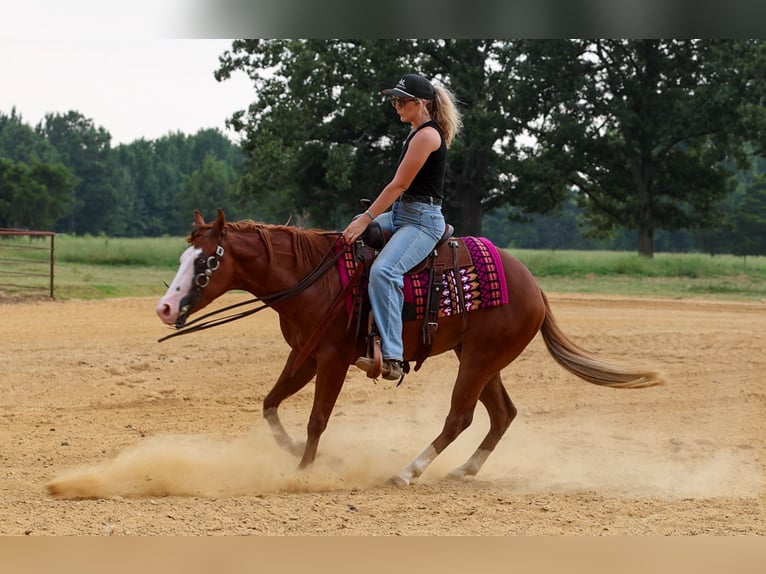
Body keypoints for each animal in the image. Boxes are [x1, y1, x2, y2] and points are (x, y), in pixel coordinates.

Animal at [156, 209, 665, 485]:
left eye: (208, 260)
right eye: (184, 255)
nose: (165, 307)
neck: (316, 278)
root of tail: (533, 284)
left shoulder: (334, 358)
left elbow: (318, 418)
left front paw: (304, 470)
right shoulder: (304, 355)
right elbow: (271, 404)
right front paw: (301, 454)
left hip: (479, 359)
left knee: (460, 417)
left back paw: (408, 471)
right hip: (480, 358)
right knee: (503, 414)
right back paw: (463, 471)